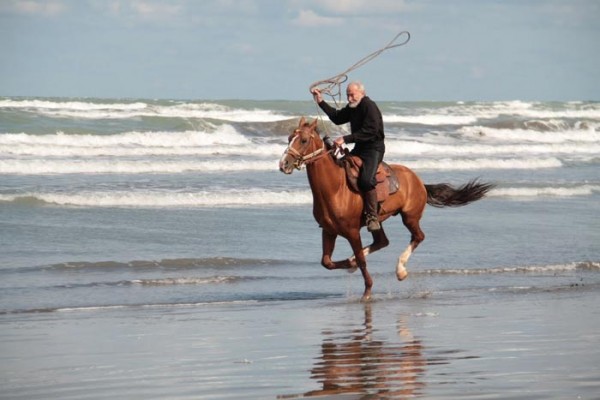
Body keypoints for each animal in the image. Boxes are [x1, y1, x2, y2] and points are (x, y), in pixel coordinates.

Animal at [278, 117, 494, 302]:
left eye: (304, 140)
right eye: (289, 138)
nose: (283, 164)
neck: (335, 188)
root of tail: (418, 180)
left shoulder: (352, 231)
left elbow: (360, 261)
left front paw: (366, 291)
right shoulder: (329, 231)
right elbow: (327, 262)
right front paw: (351, 264)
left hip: (410, 217)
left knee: (418, 237)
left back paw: (401, 271)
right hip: (377, 220)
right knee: (382, 241)